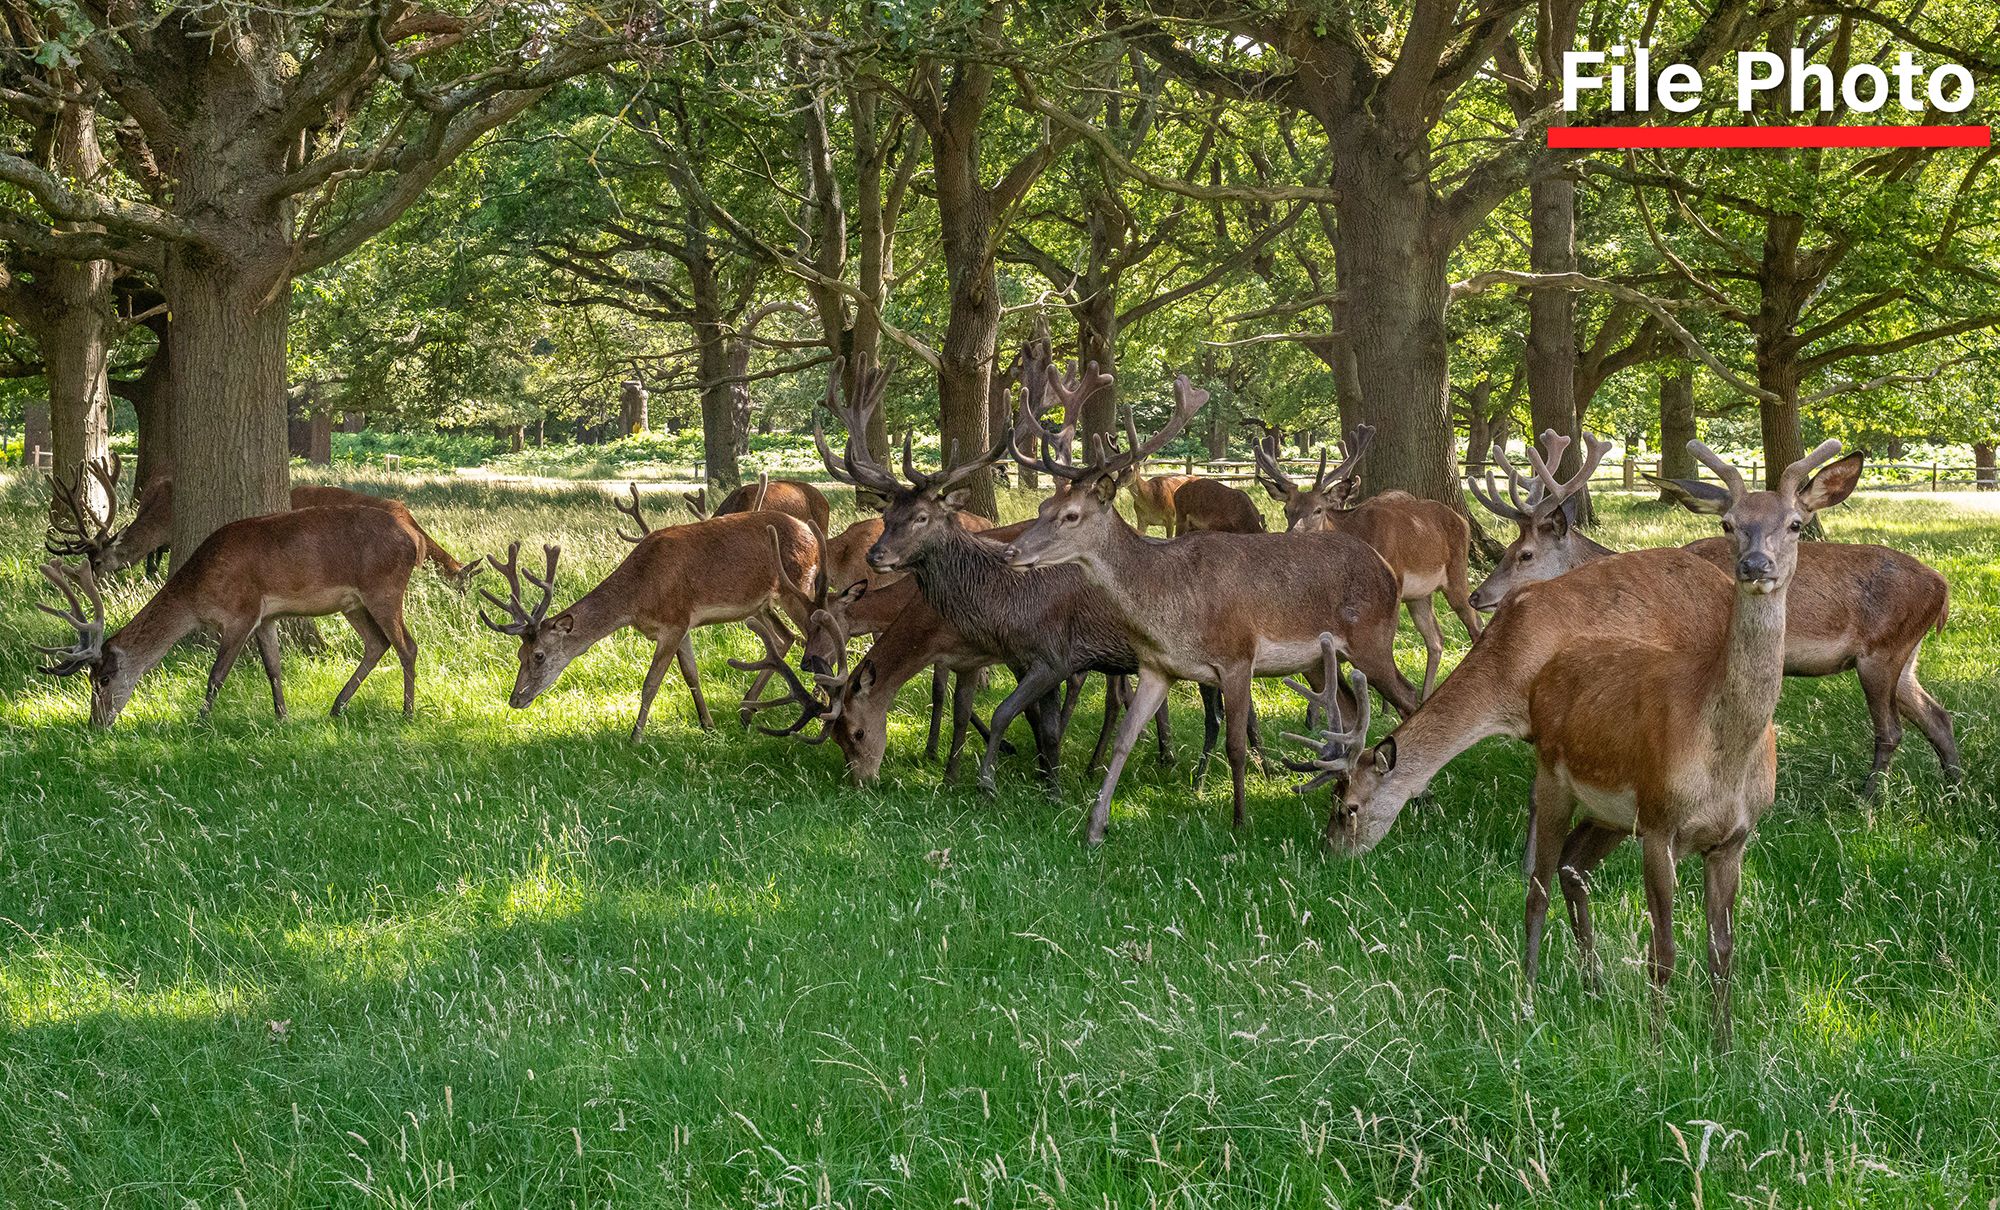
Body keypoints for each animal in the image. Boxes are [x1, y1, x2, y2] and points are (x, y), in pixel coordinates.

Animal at [36, 504, 429, 725]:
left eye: (103, 679)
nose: (95, 723)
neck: (197, 597)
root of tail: (416, 538)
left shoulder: (242, 611)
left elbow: (217, 674)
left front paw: (200, 722)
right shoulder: (266, 616)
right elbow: (273, 667)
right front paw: (282, 717)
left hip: (384, 588)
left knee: (407, 646)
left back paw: (407, 713)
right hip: (354, 603)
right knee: (377, 644)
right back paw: (336, 706)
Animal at [479, 510, 819, 741]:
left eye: (538, 655)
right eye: (519, 655)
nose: (515, 699)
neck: (638, 597)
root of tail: (812, 534)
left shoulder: (673, 621)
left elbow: (651, 682)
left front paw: (636, 737)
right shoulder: (684, 624)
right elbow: (692, 675)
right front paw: (707, 725)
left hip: (796, 585)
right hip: (761, 605)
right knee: (786, 637)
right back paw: (748, 710)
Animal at [1004, 374, 1422, 844]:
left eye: (1071, 515)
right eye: (1043, 507)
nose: (1010, 552)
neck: (1172, 610)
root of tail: (1386, 569)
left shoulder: (1237, 656)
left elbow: (1236, 746)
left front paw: (1240, 822)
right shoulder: (1157, 667)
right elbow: (1125, 739)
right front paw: (1096, 827)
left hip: (1374, 637)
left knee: (1408, 697)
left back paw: (1421, 799)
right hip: (1318, 662)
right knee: (1350, 711)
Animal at [1253, 427, 1481, 697]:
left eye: (1318, 510)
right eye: (1287, 510)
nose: (1291, 536)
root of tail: (1462, 520)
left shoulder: (1394, 580)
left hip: (1456, 572)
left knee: (1474, 623)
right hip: (1420, 595)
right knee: (1435, 639)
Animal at [1469, 430, 1957, 797]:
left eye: (1525, 555)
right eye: (1506, 549)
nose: (1477, 597)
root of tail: (1943, 589)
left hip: (1883, 651)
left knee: (1891, 729)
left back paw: (1869, 797)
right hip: (1903, 658)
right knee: (1937, 715)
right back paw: (1953, 790)